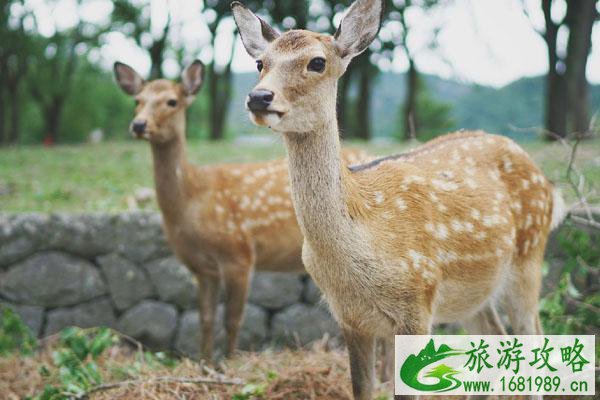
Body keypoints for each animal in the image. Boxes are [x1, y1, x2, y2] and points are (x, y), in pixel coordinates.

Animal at [113, 61, 370, 360]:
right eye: (137, 100)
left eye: (171, 101)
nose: (139, 124)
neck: (193, 199)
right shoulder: (202, 268)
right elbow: (205, 318)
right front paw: (205, 363)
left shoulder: (239, 253)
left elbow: (233, 319)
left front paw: (229, 362)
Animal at [232, 1, 564, 398]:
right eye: (260, 63)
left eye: (317, 62)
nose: (258, 97)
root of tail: (547, 182)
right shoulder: (349, 317)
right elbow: (364, 388)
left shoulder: (418, 302)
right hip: (474, 294)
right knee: (494, 339)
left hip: (529, 258)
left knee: (533, 339)